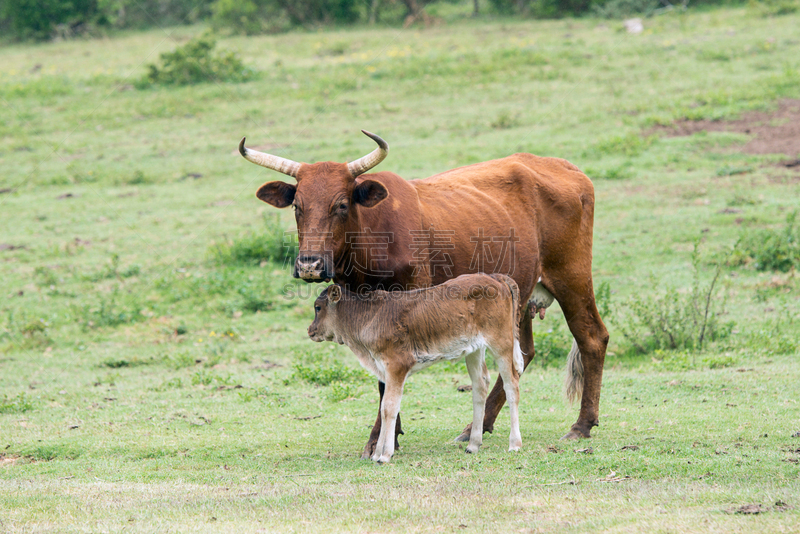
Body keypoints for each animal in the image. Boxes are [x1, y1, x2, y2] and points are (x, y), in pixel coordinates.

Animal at [306, 274, 524, 466]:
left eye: (318, 307)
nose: (310, 330)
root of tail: (495, 277)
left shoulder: (397, 366)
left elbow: (389, 407)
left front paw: (384, 455)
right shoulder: (385, 370)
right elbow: (384, 407)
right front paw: (376, 454)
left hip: (501, 342)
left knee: (511, 385)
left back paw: (514, 443)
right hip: (474, 348)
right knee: (480, 386)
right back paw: (473, 444)